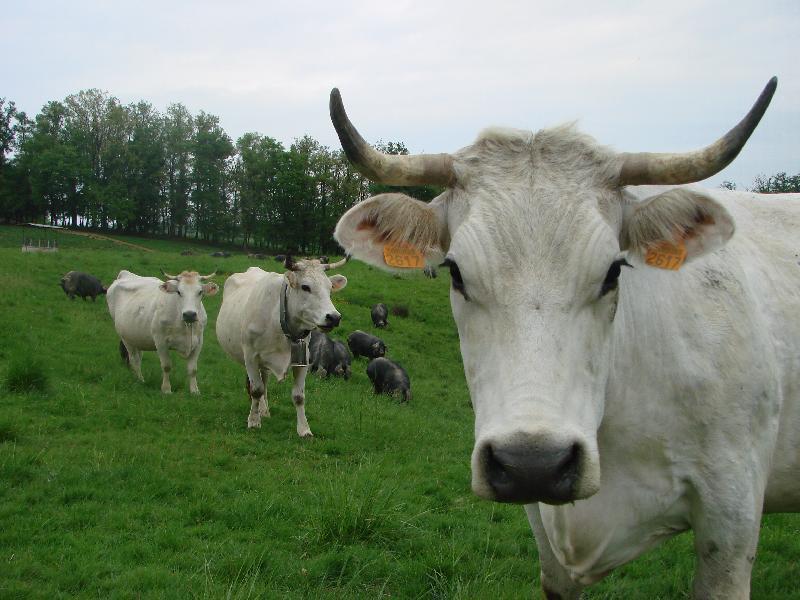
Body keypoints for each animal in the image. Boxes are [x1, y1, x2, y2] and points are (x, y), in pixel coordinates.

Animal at [216, 256, 346, 436]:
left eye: (330, 288)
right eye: (305, 287)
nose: (334, 317)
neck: (278, 322)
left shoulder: (302, 361)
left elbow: (298, 396)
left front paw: (304, 430)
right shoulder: (250, 357)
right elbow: (256, 390)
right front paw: (253, 421)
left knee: (264, 381)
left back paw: (264, 410)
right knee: (258, 386)